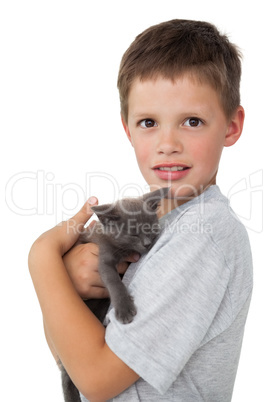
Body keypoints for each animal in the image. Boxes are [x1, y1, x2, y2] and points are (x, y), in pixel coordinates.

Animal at [60, 188, 170, 402]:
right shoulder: (103, 256)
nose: (147, 243)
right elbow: (112, 280)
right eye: (133, 233)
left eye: (150, 228)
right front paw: (124, 309)